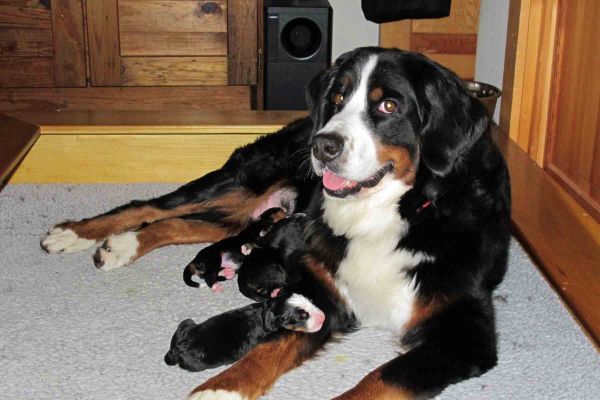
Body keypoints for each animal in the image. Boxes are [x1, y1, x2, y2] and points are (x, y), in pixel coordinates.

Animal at [163, 292, 324, 374]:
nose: (323, 317)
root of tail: (179, 348)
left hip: (185, 323)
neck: (266, 312)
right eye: (303, 316)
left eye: (311, 301)